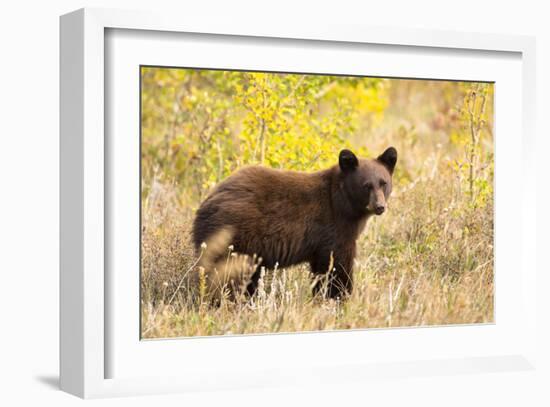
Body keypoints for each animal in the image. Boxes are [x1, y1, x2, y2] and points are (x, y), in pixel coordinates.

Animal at [192, 147, 398, 300]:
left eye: (384, 183)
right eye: (366, 185)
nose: (380, 206)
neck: (343, 204)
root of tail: (205, 205)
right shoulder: (333, 228)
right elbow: (337, 266)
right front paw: (339, 297)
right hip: (235, 238)